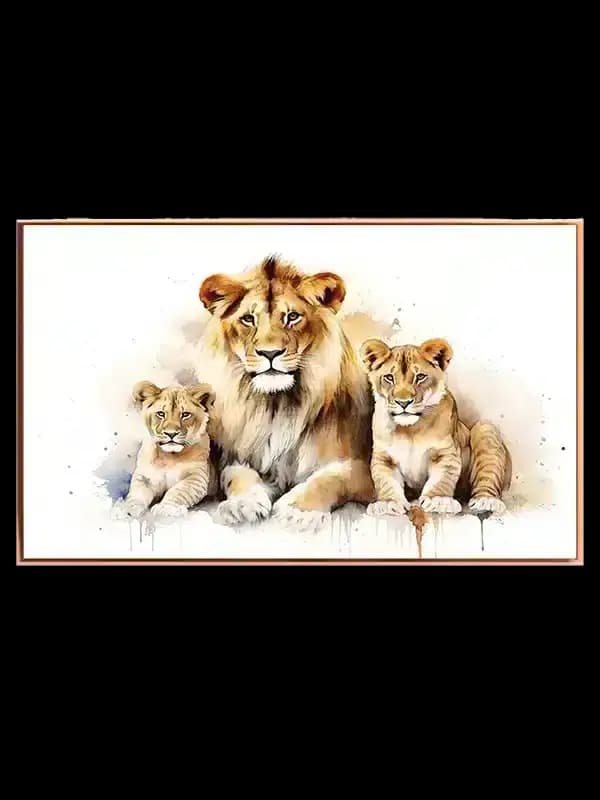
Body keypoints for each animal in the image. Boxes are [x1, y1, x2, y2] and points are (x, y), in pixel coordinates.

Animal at [121, 381, 218, 519]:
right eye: (161, 414)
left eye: (185, 414)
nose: (171, 434)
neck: (168, 456)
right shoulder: (145, 476)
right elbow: (136, 493)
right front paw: (127, 509)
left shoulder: (197, 478)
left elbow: (177, 491)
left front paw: (165, 508)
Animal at [198, 254, 375, 530]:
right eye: (248, 319)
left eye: (292, 317)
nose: (269, 353)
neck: (276, 405)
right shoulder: (238, 457)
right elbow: (236, 475)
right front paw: (242, 504)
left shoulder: (365, 467)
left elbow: (333, 476)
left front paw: (297, 509)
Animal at [359, 338, 511, 516]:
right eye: (389, 377)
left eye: (420, 377)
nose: (403, 402)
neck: (409, 430)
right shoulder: (384, 458)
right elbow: (385, 481)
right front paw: (388, 503)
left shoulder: (445, 453)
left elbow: (442, 478)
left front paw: (438, 500)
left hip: (485, 428)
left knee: (487, 476)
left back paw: (486, 500)